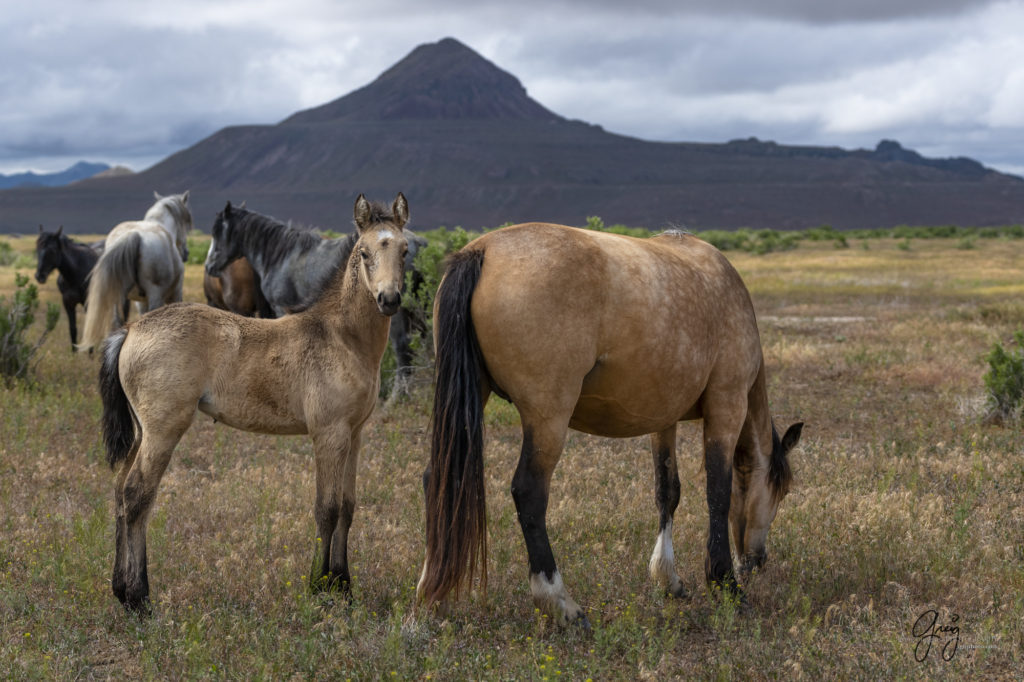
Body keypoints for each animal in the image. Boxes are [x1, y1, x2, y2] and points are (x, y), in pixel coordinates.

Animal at [78, 189, 192, 350]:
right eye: (185, 223)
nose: (186, 253)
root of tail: (134, 235)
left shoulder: (140, 301)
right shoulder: (175, 294)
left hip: (117, 296)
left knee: (116, 324)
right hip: (155, 294)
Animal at [419, 222, 802, 622]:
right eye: (782, 491)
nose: (758, 561)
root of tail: (482, 251)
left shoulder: (663, 420)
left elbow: (668, 491)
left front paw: (668, 579)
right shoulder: (726, 406)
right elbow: (718, 492)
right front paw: (725, 583)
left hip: (473, 399)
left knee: (439, 479)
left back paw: (433, 591)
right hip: (548, 418)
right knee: (528, 491)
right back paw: (560, 602)